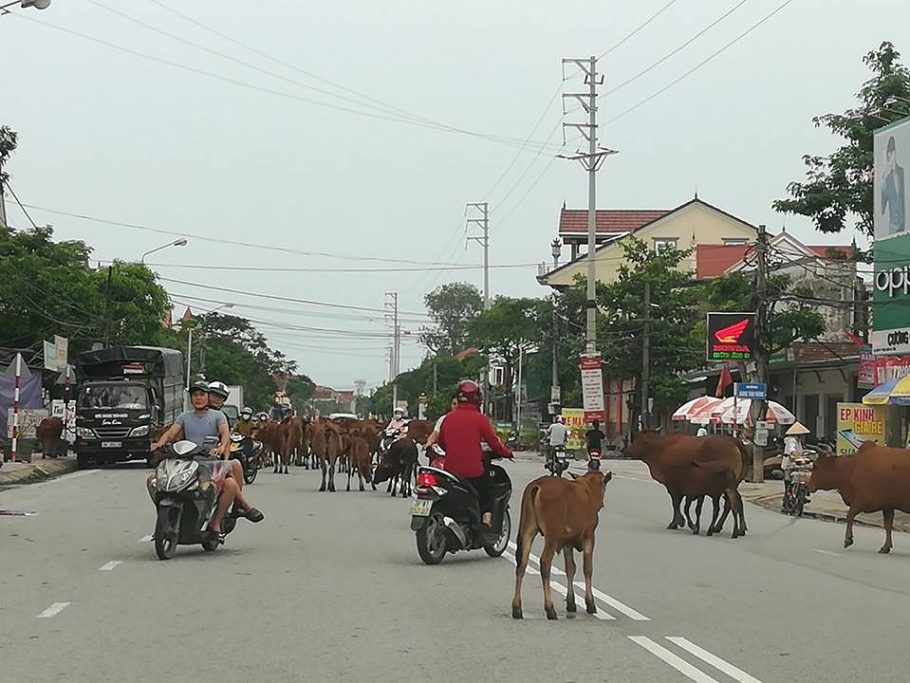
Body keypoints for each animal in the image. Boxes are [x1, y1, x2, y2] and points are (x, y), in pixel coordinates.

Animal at [512, 470, 612, 620]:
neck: (588, 488)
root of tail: (537, 485)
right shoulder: (589, 536)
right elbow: (587, 569)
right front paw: (590, 603)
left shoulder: (567, 542)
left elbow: (570, 568)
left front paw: (571, 602)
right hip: (551, 536)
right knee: (545, 562)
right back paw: (550, 609)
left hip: (527, 530)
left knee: (522, 563)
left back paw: (517, 608)